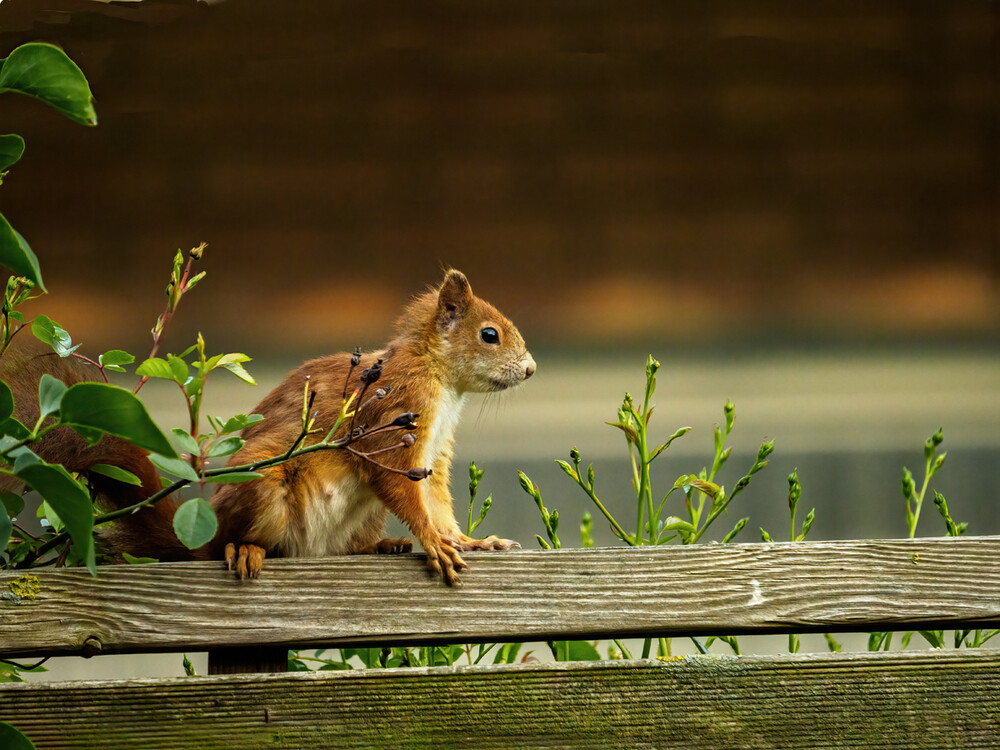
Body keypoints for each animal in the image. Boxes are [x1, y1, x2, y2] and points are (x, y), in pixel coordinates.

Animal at [3, 270, 536, 588]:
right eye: (489, 334)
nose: (530, 369)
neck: (442, 381)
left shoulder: (434, 452)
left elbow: (438, 499)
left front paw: (468, 541)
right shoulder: (394, 417)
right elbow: (400, 483)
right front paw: (435, 542)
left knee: (344, 548)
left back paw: (382, 545)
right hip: (262, 487)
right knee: (235, 543)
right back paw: (243, 549)